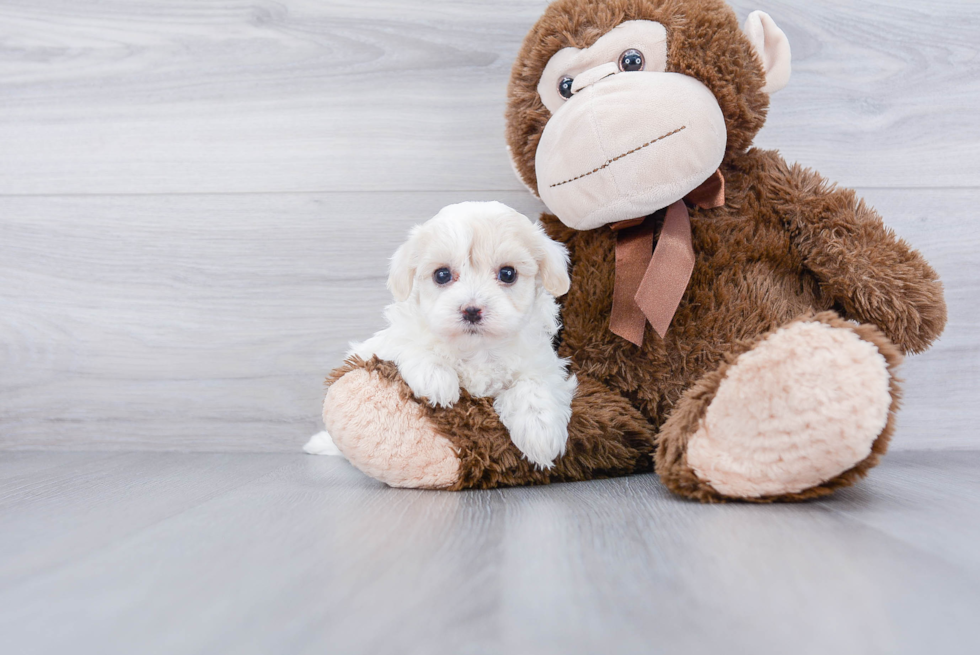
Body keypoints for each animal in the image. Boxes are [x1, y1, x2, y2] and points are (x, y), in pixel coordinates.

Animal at [306, 202, 580, 468]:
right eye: (442, 275)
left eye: (508, 273)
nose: (471, 310)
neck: (477, 349)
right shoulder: (392, 339)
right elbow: (410, 344)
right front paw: (436, 378)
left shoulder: (541, 363)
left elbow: (535, 387)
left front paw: (540, 432)